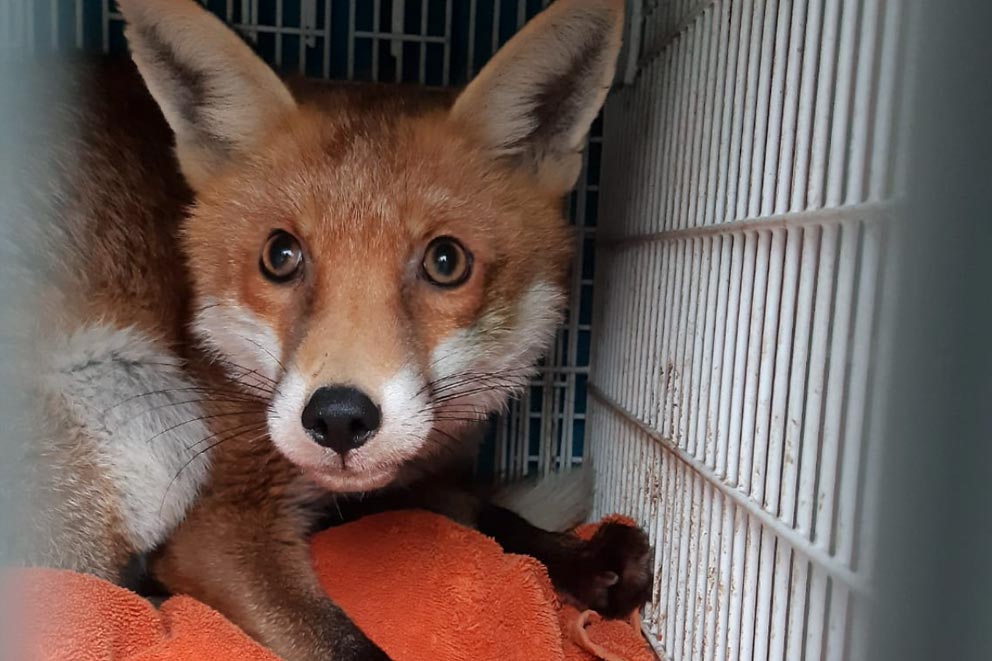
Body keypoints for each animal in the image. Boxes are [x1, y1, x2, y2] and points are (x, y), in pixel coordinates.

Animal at [1, 0, 652, 658]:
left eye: (446, 261)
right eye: (280, 256)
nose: (339, 417)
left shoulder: (396, 470)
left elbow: (477, 510)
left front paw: (575, 556)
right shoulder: (217, 523)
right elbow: (347, 641)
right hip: (141, 410)